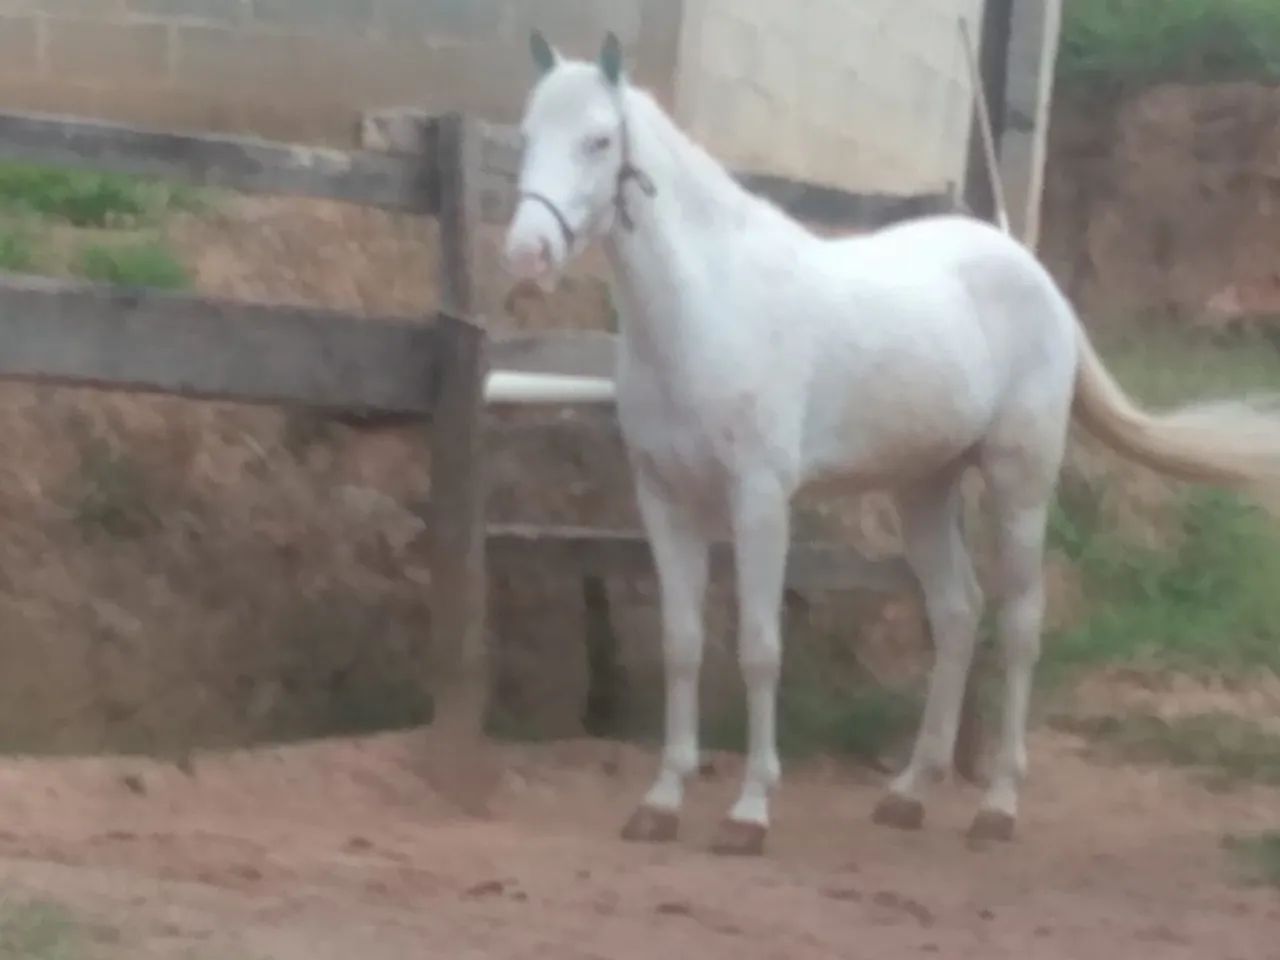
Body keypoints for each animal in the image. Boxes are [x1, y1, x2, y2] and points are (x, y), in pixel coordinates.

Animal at [501, 31, 1280, 856]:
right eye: (525, 136)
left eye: (598, 140)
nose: (526, 255)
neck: (708, 307)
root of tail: (1034, 273)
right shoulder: (664, 499)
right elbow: (682, 645)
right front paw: (661, 801)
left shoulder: (759, 501)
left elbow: (759, 648)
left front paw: (749, 810)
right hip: (924, 489)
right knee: (958, 613)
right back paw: (910, 791)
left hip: (1019, 484)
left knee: (1020, 623)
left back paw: (997, 806)